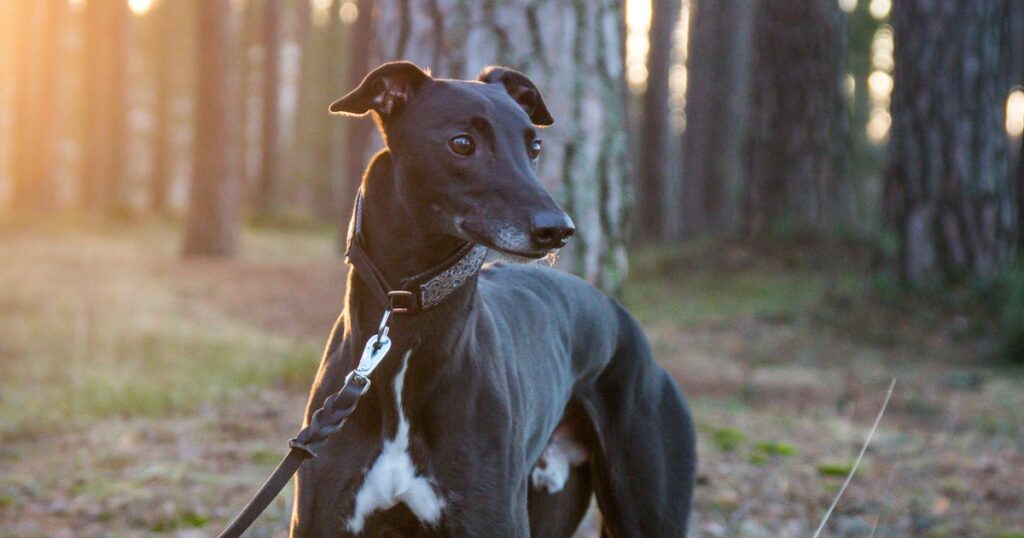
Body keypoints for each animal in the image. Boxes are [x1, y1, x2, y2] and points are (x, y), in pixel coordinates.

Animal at [292, 61, 700, 532]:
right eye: (462, 143)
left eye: (534, 145)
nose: (558, 229)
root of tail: (623, 320)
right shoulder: (322, 518)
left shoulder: (489, 516)